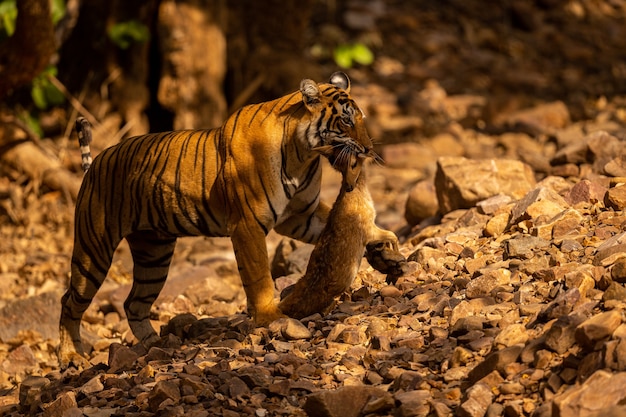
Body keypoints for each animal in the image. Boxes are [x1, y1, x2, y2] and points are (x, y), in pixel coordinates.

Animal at [59, 71, 390, 368]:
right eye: (346, 121)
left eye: (361, 118)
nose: (369, 149)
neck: (303, 155)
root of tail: (95, 164)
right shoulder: (247, 225)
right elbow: (259, 277)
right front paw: (271, 317)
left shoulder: (299, 216)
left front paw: (382, 242)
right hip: (94, 250)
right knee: (69, 301)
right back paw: (70, 356)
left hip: (154, 254)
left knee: (134, 303)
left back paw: (156, 344)